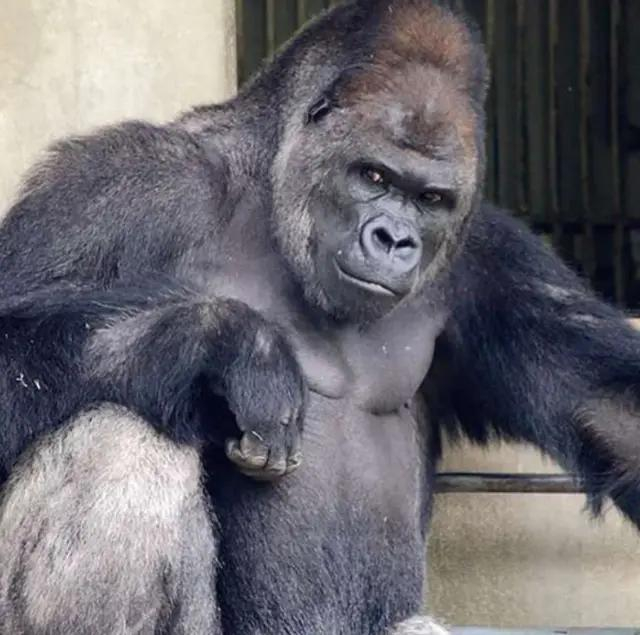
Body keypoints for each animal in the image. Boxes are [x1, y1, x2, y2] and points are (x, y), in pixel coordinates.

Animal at [1, 1, 640, 633]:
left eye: (430, 199)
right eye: (374, 175)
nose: (394, 240)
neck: (270, 180)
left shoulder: (491, 259)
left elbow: (612, 410)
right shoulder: (118, 188)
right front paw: (228, 344)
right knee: (118, 438)